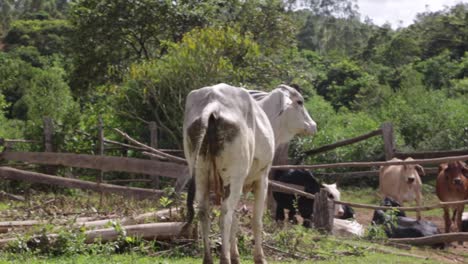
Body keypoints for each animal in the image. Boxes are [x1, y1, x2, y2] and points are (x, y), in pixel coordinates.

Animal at [183, 83, 314, 264]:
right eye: (300, 102)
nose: (313, 125)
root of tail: (213, 103)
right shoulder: (262, 179)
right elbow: (256, 221)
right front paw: (259, 257)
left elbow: (236, 220)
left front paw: (236, 256)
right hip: (234, 178)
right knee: (225, 216)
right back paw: (224, 258)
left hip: (201, 174)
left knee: (204, 212)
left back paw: (208, 259)